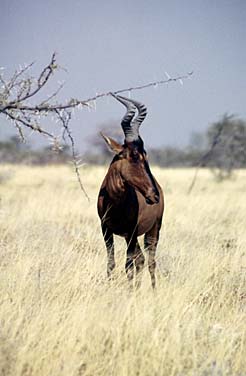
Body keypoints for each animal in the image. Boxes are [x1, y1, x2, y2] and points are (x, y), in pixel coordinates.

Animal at [97, 94, 163, 288]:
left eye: (145, 155)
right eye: (134, 156)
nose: (153, 195)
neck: (115, 201)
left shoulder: (131, 231)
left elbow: (129, 265)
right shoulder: (106, 230)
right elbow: (111, 263)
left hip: (153, 230)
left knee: (149, 261)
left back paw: (153, 290)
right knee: (140, 260)